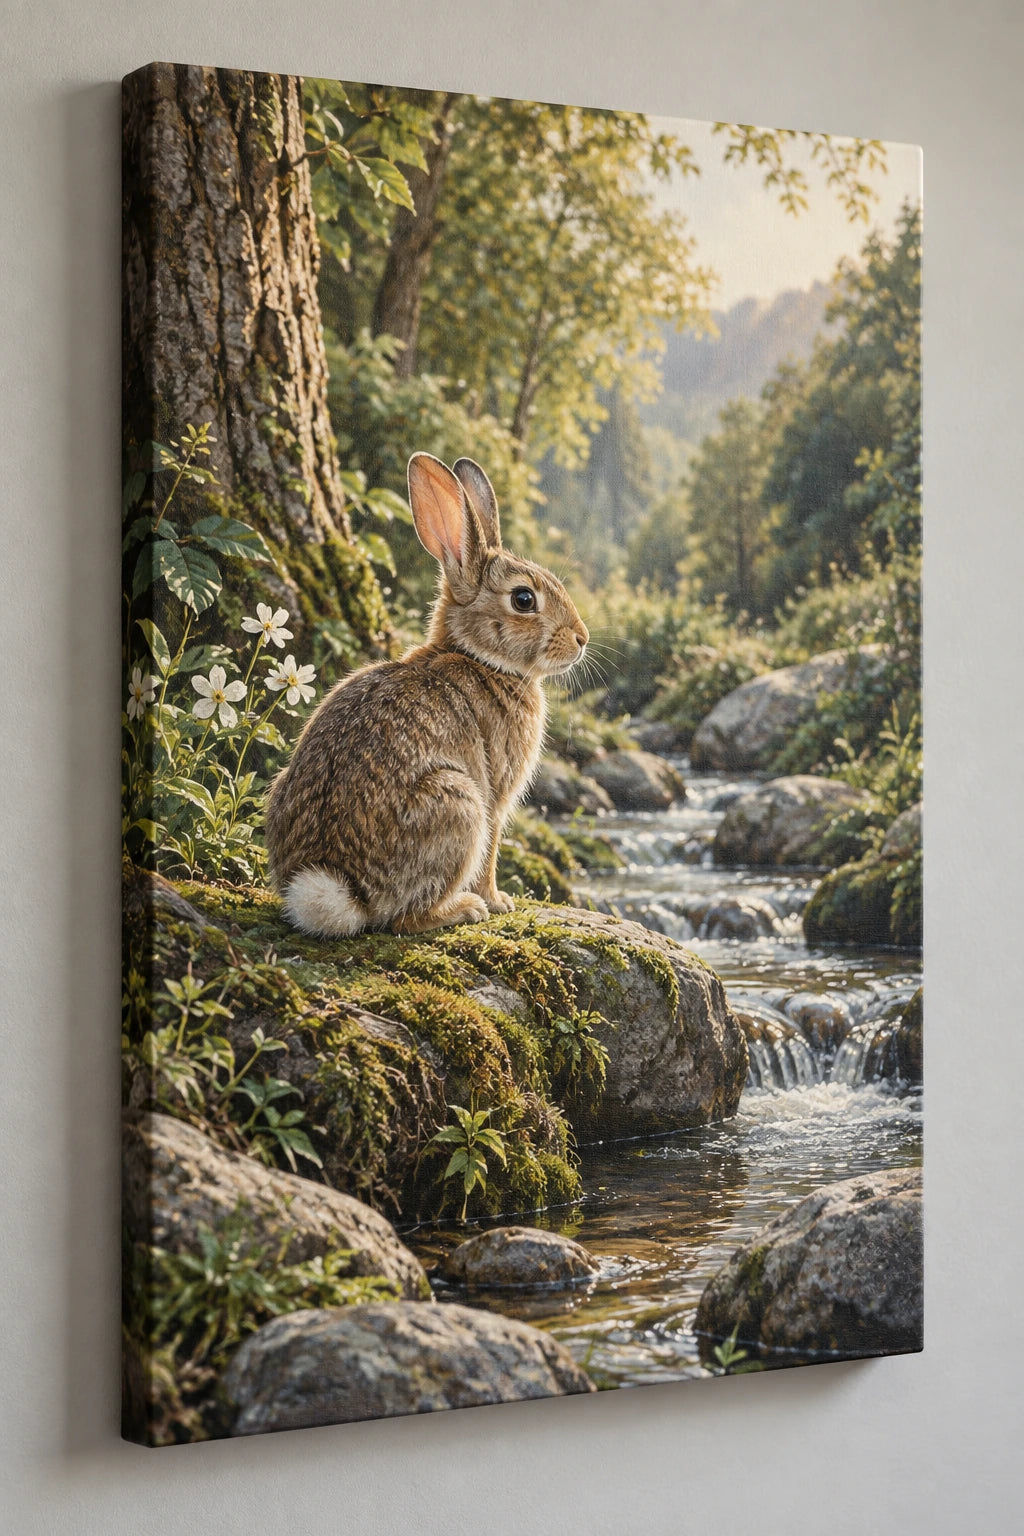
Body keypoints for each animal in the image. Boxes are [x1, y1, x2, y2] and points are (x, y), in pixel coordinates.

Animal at [265, 452, 590, 937]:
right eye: (523, 599)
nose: (582, 639)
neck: (482, 658)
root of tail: (345, 892)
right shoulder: (495, 797)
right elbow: (493, 850)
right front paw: (499, 901)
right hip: (459, 803)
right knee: (403, 917)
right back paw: (465, 908)